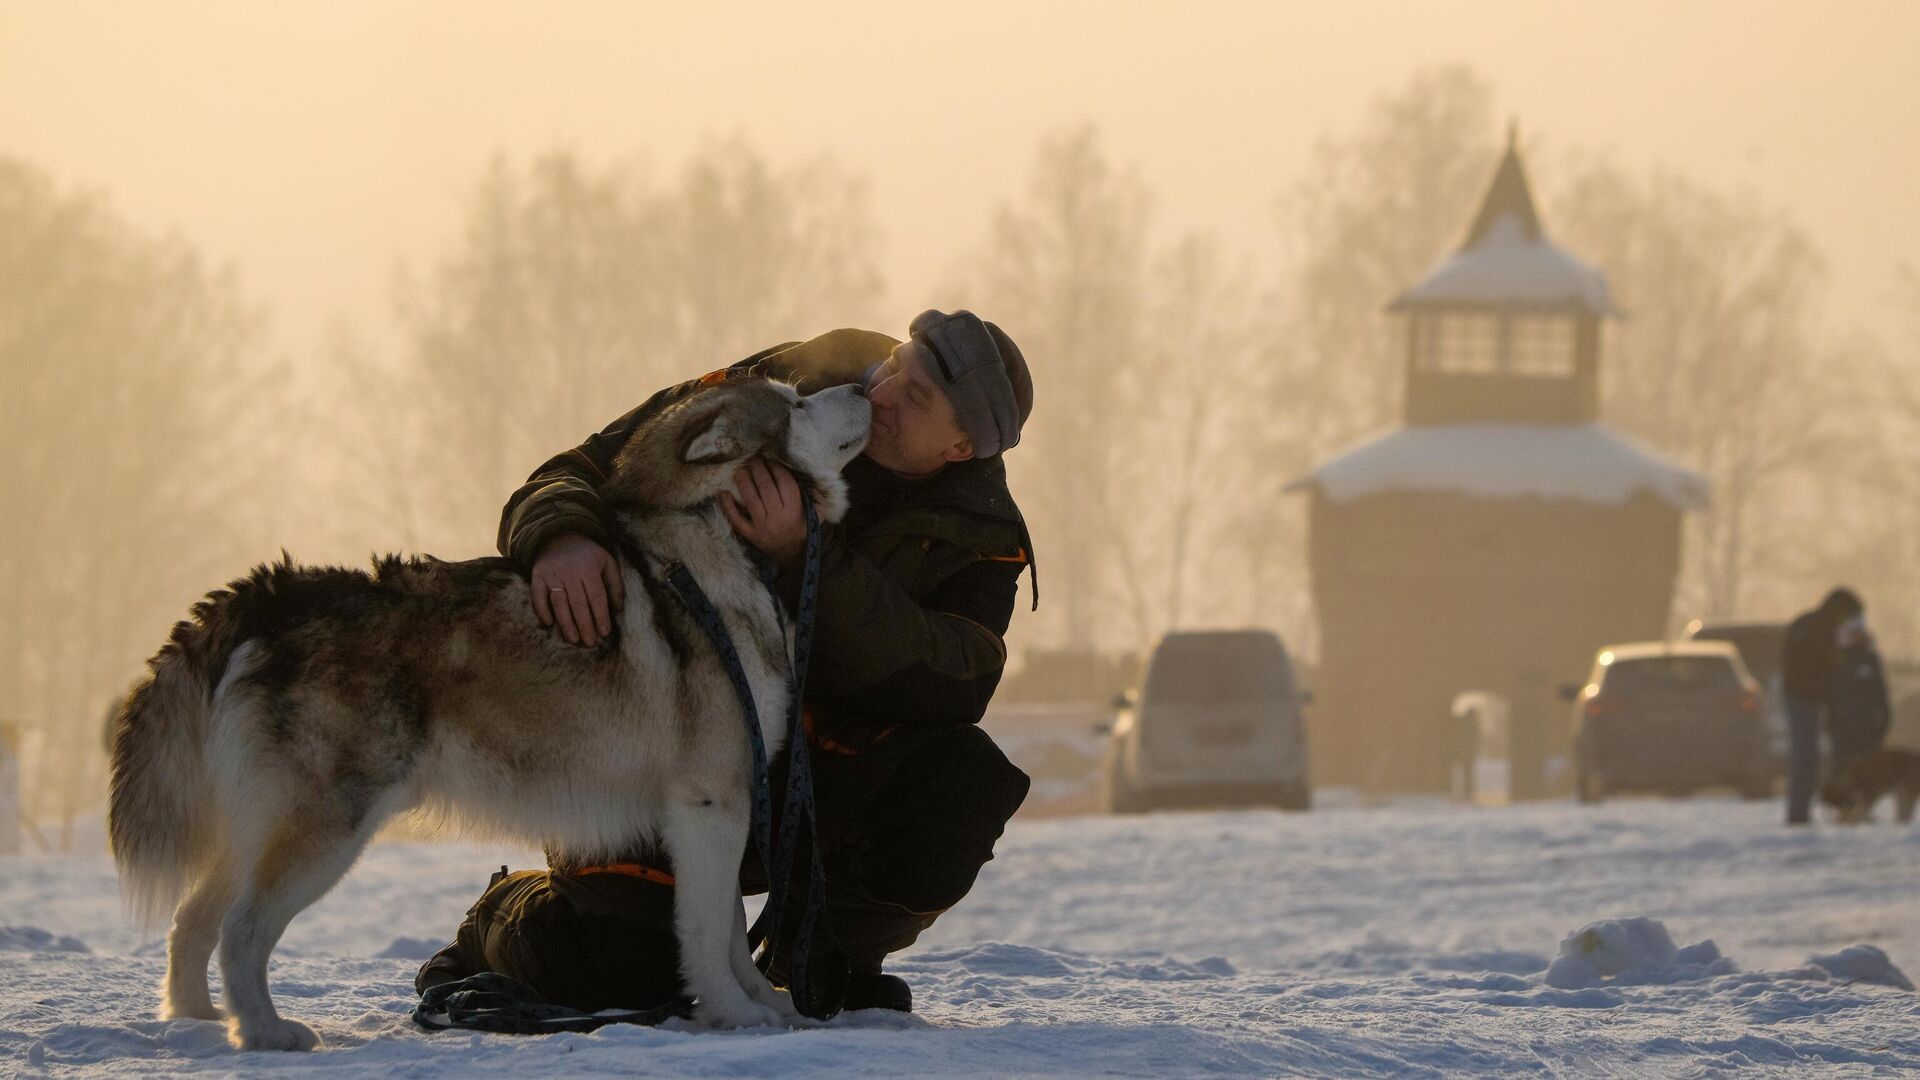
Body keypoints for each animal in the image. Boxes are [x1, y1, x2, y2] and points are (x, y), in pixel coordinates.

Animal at [108, 376, 875, 1045]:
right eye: (795, 403)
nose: (866, 383)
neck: (721, 544)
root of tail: (270, 595)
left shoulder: (726, 806)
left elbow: (735, 937)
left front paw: (772, 1004)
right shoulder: (711, 802)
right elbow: (712, 932)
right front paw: (735, 1017)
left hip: (256, 825)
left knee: (191, 920)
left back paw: (198, 1020)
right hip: (327, 827)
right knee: (238, 931)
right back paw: (266, 1033)